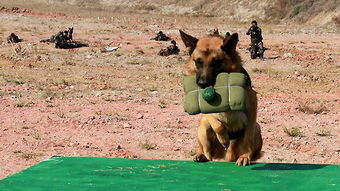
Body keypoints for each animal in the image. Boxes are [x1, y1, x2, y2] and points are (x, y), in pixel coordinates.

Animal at [181, 29, 262, 166]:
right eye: (198, 61)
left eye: (216, 62)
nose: (202, 83)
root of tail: (225, 155)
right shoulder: (206, 111)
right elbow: (216, 123)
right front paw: (223, 138)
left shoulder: (252, 105)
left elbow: (247, 138)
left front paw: (245, 155)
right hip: (202, 128)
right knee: (208, 153)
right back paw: (202, 155)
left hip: (257, 128)